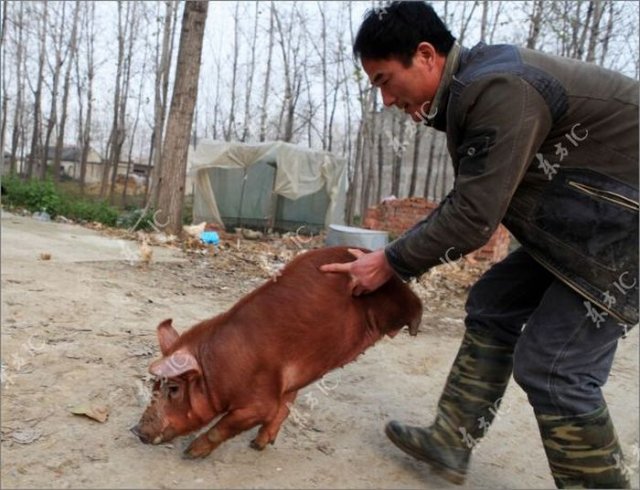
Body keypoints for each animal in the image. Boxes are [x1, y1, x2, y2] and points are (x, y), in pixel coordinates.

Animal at [131, 249, 422, 460]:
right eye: (154, 386)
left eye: (174, 388)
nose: (136, 430)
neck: (217, 368)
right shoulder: (285, 383)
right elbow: (283, 409)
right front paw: (258, 445)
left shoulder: (261, 398)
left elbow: (229, 423)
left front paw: (190, 453)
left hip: (394, 295)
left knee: (415, 302)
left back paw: (415, 328)